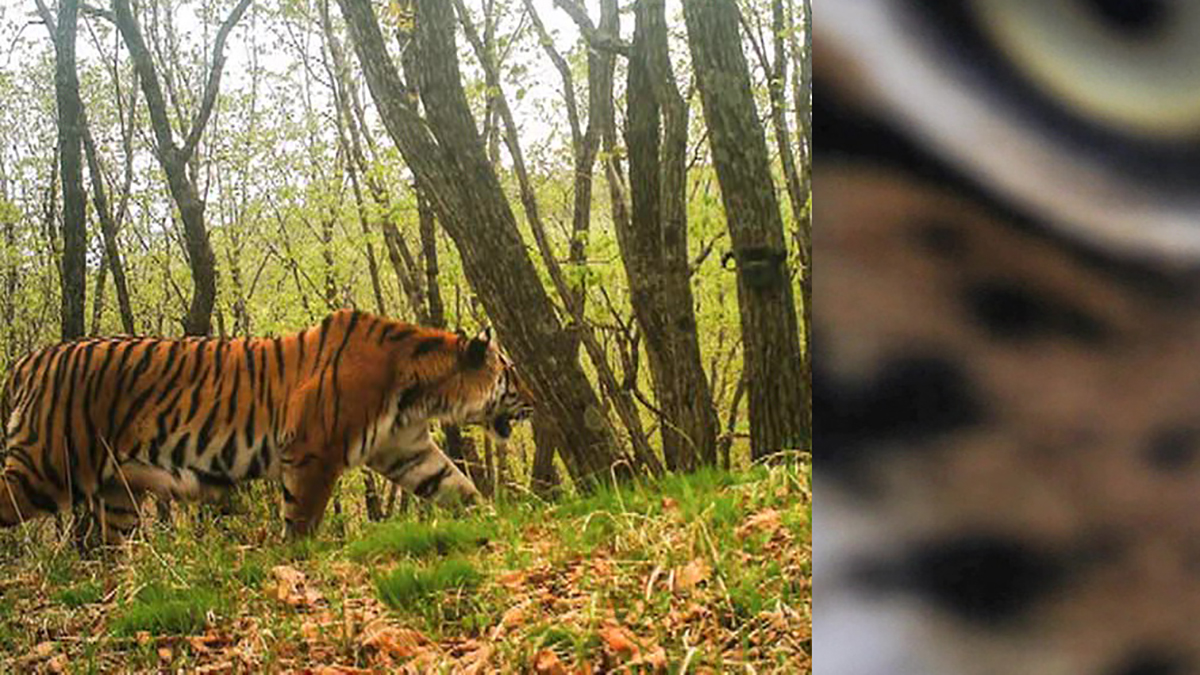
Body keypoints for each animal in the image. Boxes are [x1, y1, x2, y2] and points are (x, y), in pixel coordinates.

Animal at [0, 309, 533, 542]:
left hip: (117, 494)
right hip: (45, 467)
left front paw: (493, 520)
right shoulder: (314, 450)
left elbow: (457, 486)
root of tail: (29, 359)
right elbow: (302, 518)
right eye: (512, 374)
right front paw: (298, 563)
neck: (420, 392)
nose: (535, 401)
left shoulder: (405, 449)